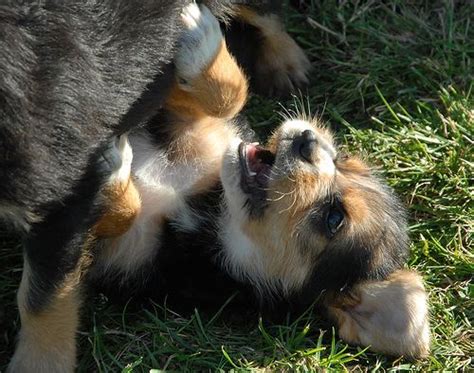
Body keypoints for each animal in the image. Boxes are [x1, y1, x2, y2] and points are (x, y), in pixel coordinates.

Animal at [94, 3, 432, 360]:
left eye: (334, 218)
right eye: (341, 159)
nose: (307, 140)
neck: (207, 206)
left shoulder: (128, 256)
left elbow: (121, 215)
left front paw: (112, 172)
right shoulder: (193, 126)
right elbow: (231, 97)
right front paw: (202, 44)